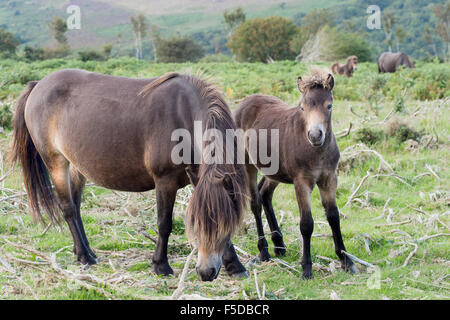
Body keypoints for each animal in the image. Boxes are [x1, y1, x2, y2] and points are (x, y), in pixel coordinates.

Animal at [10, 69, 248, 280]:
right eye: (194, 225)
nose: (206, 273)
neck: (183, 117)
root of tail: (38, 84)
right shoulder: (165, 181)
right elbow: (164, 224)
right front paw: (161, 266)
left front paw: (235, 266)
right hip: (56, 162)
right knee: (68, 208)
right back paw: (85, 257)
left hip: (76, 166)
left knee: (76, 207)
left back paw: (83, 252)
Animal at [234, 68, 356, 280]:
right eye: (302, 107)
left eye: (329, 105)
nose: (315, 135)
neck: (317, 152)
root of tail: (244, 102)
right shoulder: (302, 182)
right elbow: (306, 224)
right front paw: (306, 268)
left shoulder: (329, 178)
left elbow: (333, 216)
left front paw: (345, 260)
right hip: (247, 163)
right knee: (255, 202)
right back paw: (264, 251)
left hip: (274, 170)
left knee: (265, 193)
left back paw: (279, 245)